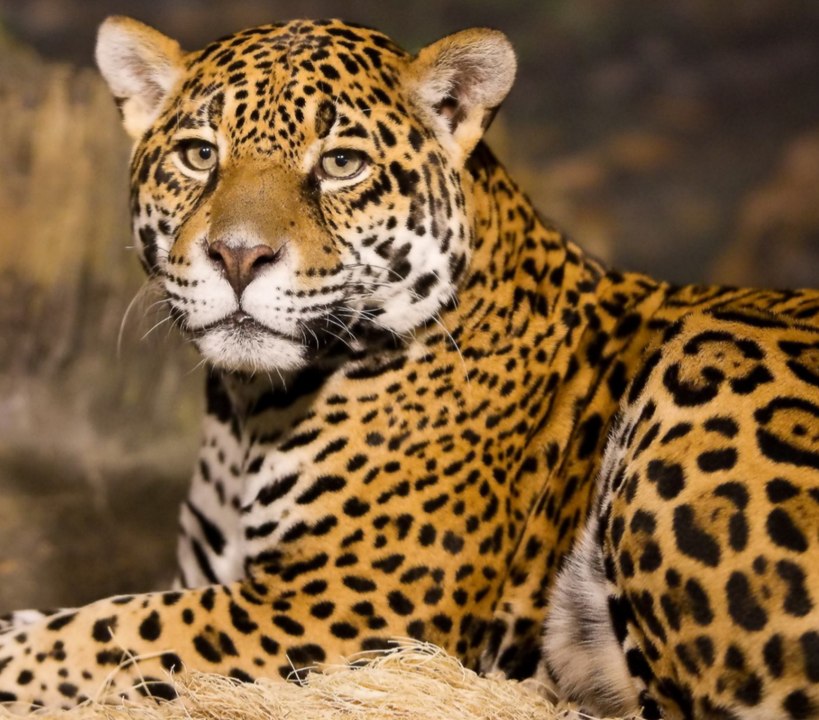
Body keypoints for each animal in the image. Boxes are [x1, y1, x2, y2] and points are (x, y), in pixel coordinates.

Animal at [0, 14, 817, 719]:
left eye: (341, 164)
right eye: (200, 154)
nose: (237, 256)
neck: (248, 412)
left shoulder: (343, 606)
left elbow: (102, 632)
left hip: (703, 352)